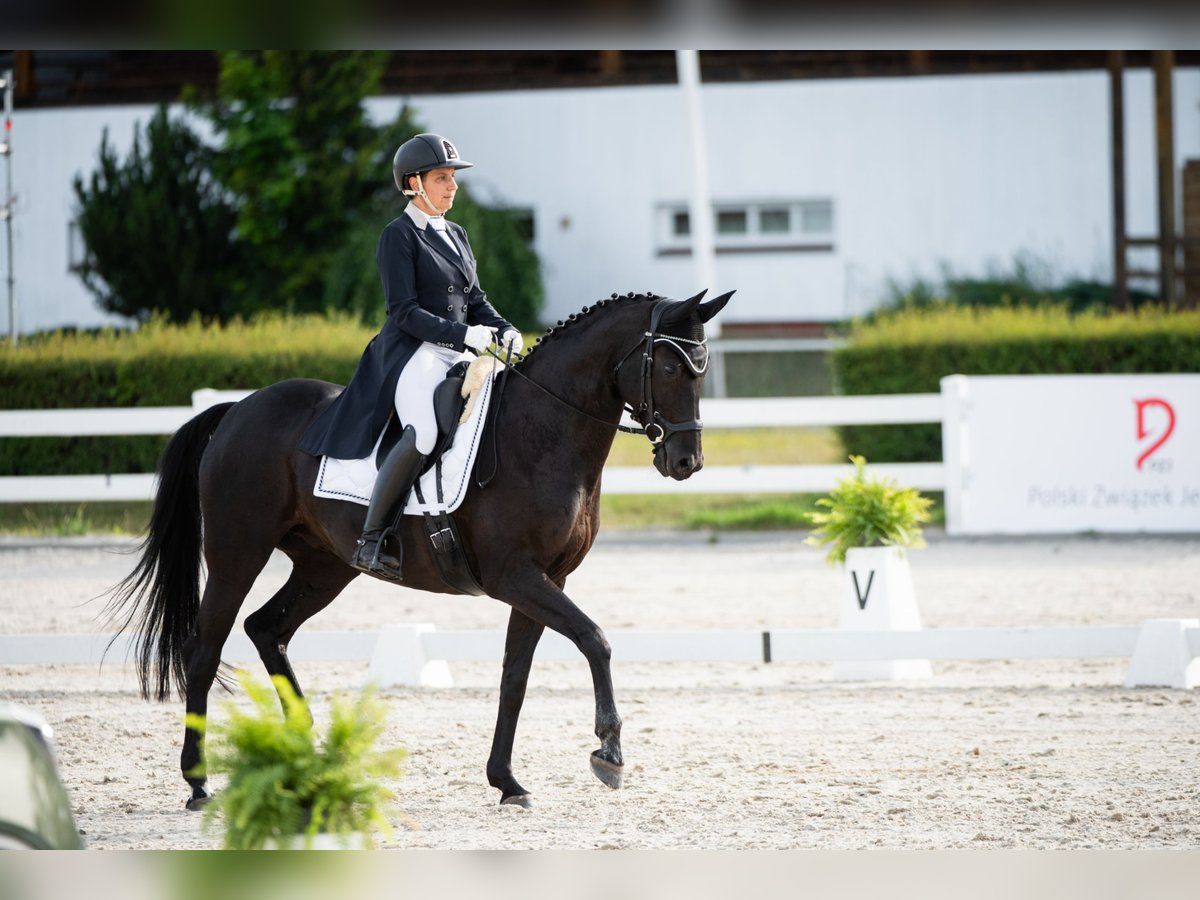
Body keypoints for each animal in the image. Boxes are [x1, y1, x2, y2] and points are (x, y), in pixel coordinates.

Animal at [108, 289, 729, 811]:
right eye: (669, 366)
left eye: (701, 368)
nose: (686, 462)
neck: (542, 431)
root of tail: (237, 410)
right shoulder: (516, 576)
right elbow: (594, 639)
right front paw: (608, 753)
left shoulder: (546, 580)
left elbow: (515, 676)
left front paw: (507, 782)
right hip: (238, 554)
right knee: (205, 650)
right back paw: (199, 784)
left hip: (324, 566)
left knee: (268, 629)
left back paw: (306, 757)